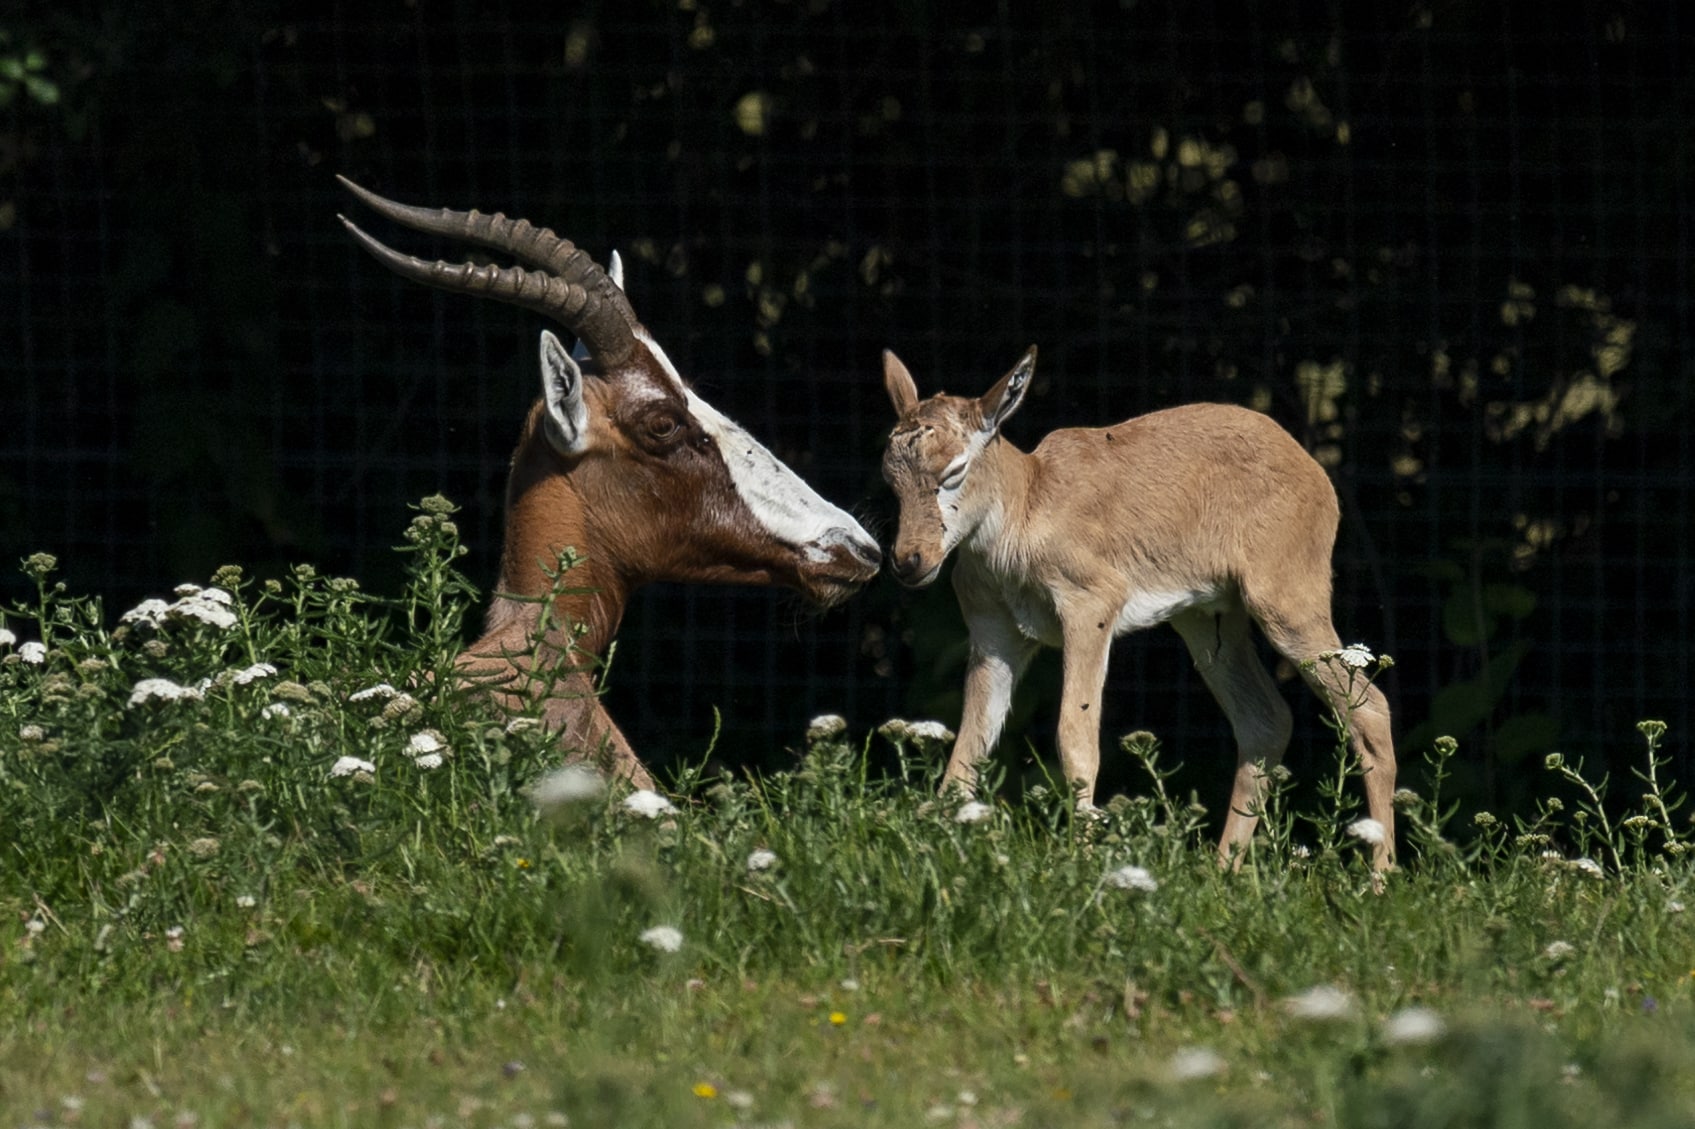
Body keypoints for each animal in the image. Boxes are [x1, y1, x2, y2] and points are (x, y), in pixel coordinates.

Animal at [881, 347, 1396, 864]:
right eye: (890, 475)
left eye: (954, 469)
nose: (908, 560)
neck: (1026, 509)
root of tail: (1318, 475)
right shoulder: (994, 632)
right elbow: (969, 746)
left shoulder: (1090, 605)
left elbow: (1076, 736)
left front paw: (1083, 859)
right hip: (1208, 621)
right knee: (1267, 720)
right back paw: (1221, 868)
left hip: (1288, 603)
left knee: (1370, 708)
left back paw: (1378, 874)